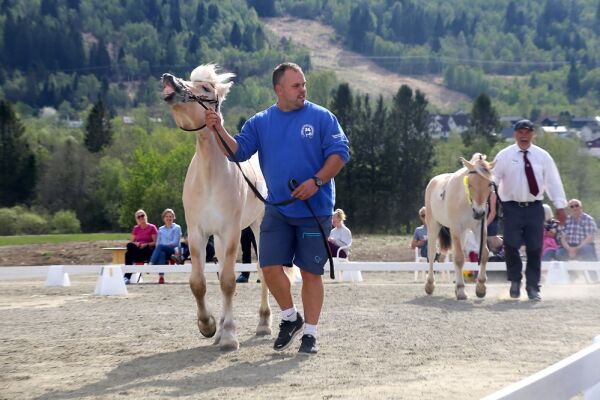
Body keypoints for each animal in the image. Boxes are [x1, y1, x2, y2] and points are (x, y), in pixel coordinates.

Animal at [162, 64, 270, 348]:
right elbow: (200, 283)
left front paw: (230, 336)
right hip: (219, 241)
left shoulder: (231, 232)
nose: (169, 79)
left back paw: (264, 324)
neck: (211, 175)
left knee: (264, 271)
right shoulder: (198, 233)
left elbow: (230, 282)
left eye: (206, 88)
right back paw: (220, 330)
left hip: (257, 227)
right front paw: (209, 326)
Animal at [424, 153, 494, 300]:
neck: (466, 200)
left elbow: (484, 253)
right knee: (432, 254)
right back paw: (430, 285)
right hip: (433, 224)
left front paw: (480, 287)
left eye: (490, 184)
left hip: (464, 232)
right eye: (470, 184)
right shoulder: (455, 227)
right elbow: (459, 258)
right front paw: (461, 290)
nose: (479, 213)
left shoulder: (479, 227)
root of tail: (433, 181)